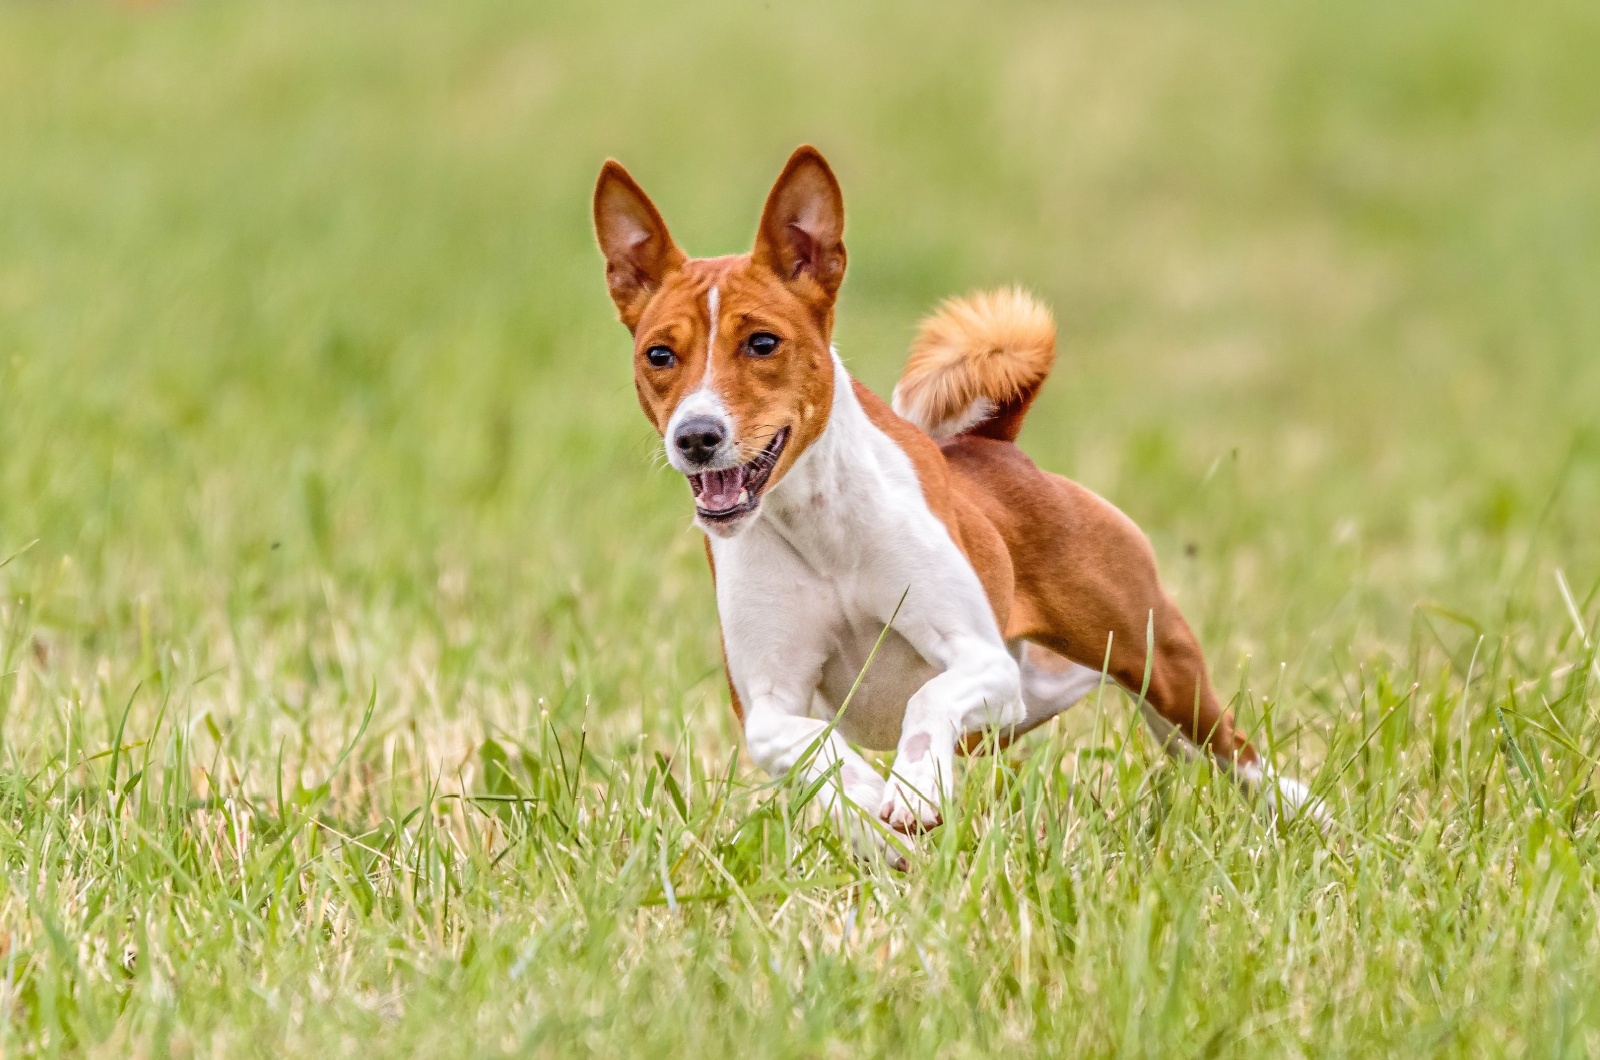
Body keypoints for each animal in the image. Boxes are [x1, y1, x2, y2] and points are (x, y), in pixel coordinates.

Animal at [588, 147, 1312, 864]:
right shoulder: (766, 704)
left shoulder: (980, 659)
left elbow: (928, 700)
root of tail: (996, 445)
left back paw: (1312, 815)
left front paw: (911, 788)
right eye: (659, 353)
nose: (696, 436)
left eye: (762, 343)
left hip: (1154, 666)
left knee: (1237, 753)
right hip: (1045, 692)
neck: (820, 534)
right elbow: (812, 750)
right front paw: (868, 805)